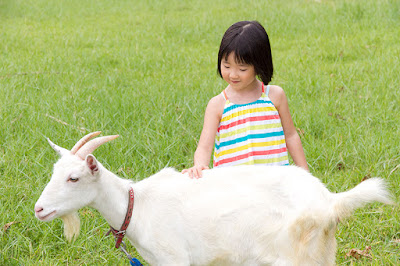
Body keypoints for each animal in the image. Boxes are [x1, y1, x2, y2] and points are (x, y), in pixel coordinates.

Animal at [35, 132, 394, 264]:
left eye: (74, 178)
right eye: (54, 171)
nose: (38, 209)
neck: (137, 205)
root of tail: (328, 200)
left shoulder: (175, 260)